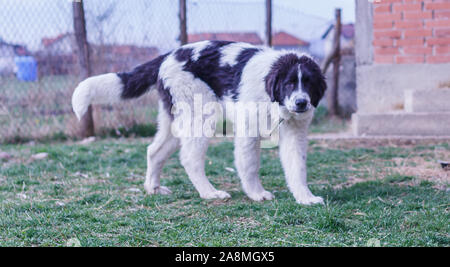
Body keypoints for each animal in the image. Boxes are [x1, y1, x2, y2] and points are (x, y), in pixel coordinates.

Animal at [74, 41, 326, 205]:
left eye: (308, 83)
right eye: (289, 83)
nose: (301, 103)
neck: (272, 98)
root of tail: (168, 56)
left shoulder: (295, 135)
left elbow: (297, 167)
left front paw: (305, 197)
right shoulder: (248, 132)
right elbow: (250, 166)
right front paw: (257, 194)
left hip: (175, 121)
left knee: (154, 151)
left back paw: (153, 188)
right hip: (201, 117)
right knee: (189, 158)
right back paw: (209, 193)